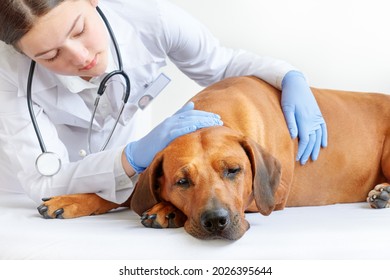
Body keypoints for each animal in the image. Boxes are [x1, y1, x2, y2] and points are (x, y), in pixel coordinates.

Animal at [38, 76, 390, 241]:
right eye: (182, 181)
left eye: (234, 170)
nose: (216, 221)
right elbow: (121, 191)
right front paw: (70, 199)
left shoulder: (272, 197)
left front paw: (165, 209)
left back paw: (383, 192)